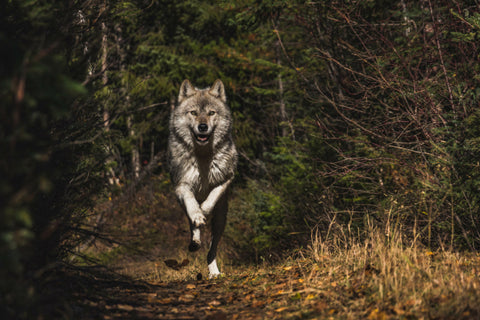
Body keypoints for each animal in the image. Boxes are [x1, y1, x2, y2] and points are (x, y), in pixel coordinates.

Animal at [167, 78, 238, 278]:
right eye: (194, 113)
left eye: (211, 113)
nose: (203, 127)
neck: (203, 157)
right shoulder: (182, 185)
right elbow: (192, 205)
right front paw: (198, 215)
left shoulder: (226, 179)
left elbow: (211, 197)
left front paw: (204, 210)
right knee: (193, 226)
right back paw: (195, 241)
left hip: (221, 220)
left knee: (211, 250)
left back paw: (214, 273)